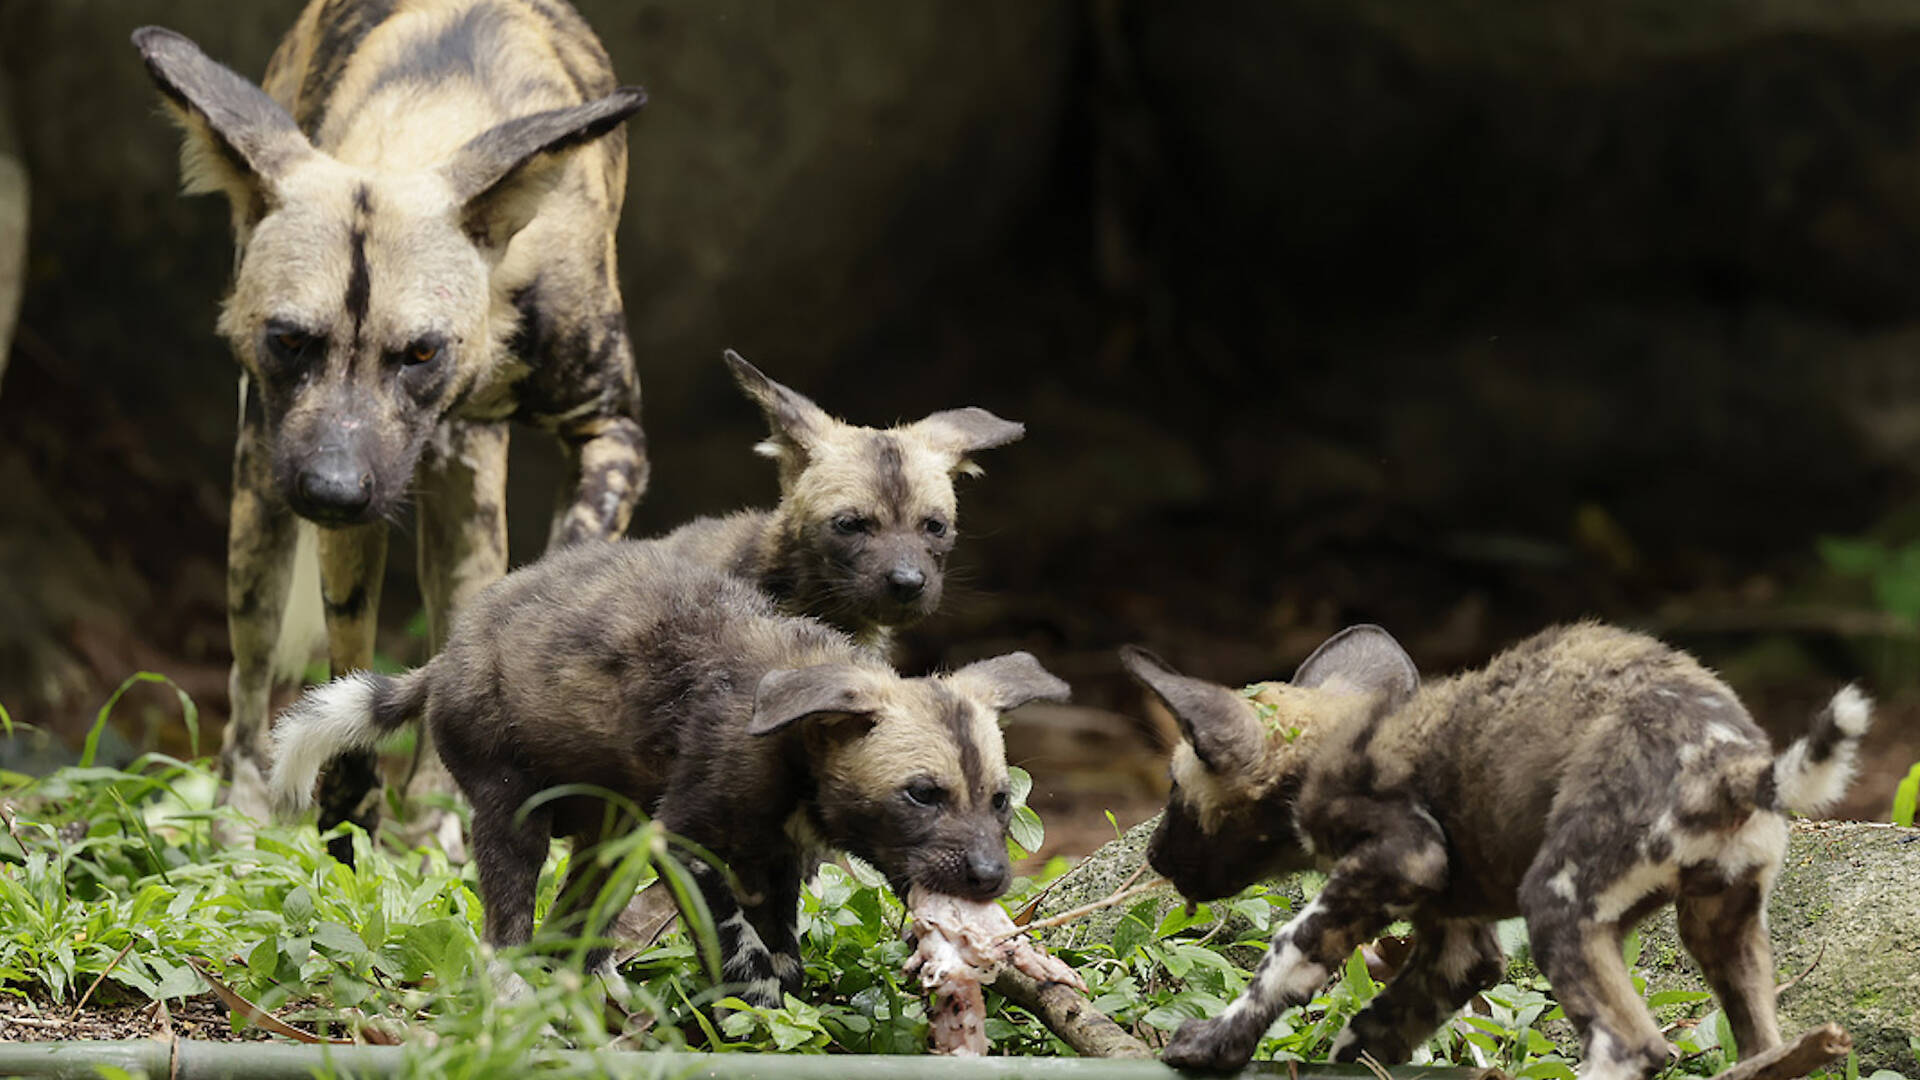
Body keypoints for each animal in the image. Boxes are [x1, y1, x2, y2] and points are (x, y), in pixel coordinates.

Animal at [131, 0, 652, 845]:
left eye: (420, 351)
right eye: (290, 339)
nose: (333, 490)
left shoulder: (611, 433)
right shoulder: (331, 489)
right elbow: (346, 662)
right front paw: (348, 806)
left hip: (460, 497)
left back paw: (439, 818)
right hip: (261, 492)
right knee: (248, 684)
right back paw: (242, 826)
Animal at [268, 541, 1067, 1006]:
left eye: (1000, 801)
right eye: (923, 795)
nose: (992, 877)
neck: (792, 740)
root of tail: (445, 656)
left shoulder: (772, 859)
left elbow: (784, 945)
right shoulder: (684, 843)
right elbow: (743, 949)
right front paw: (753, 1008)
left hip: (613, 838)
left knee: (574, 926)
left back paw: (600, 998)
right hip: (518, 817)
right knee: (506, 927)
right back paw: (519, 998)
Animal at [1121, 618, 1866, 1068]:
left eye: (1173, 789)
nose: (1153, 856)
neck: (1323, 748)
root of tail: (1731, 759)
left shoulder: (1402, 858)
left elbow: (1285, 959)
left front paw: (1209, 1046)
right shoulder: (1458, 943)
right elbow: (1376, 1031)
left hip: (1557, 905)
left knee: (1632, 1049)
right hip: (1723, 928)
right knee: (1762, 1046)